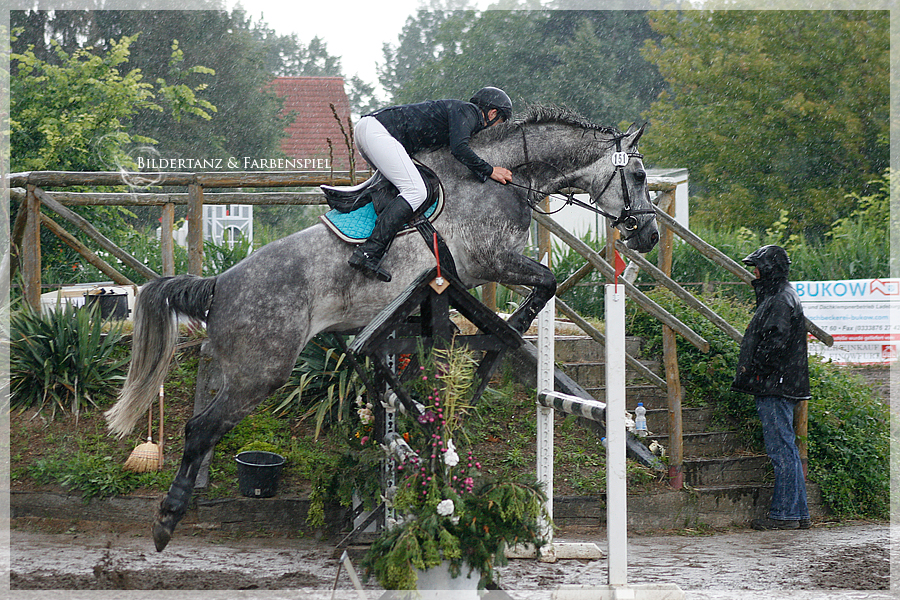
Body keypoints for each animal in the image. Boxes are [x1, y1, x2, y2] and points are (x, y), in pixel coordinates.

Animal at [105, 103, 656, 548]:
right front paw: (513, 327)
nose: (647, 235)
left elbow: (541, 286)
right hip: (261, 371)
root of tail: (220, 283)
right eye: (640, 175)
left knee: (205, 428)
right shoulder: (493, 260)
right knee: (200, 429)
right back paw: (166, 521)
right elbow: (548, 281)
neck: (502, 179)